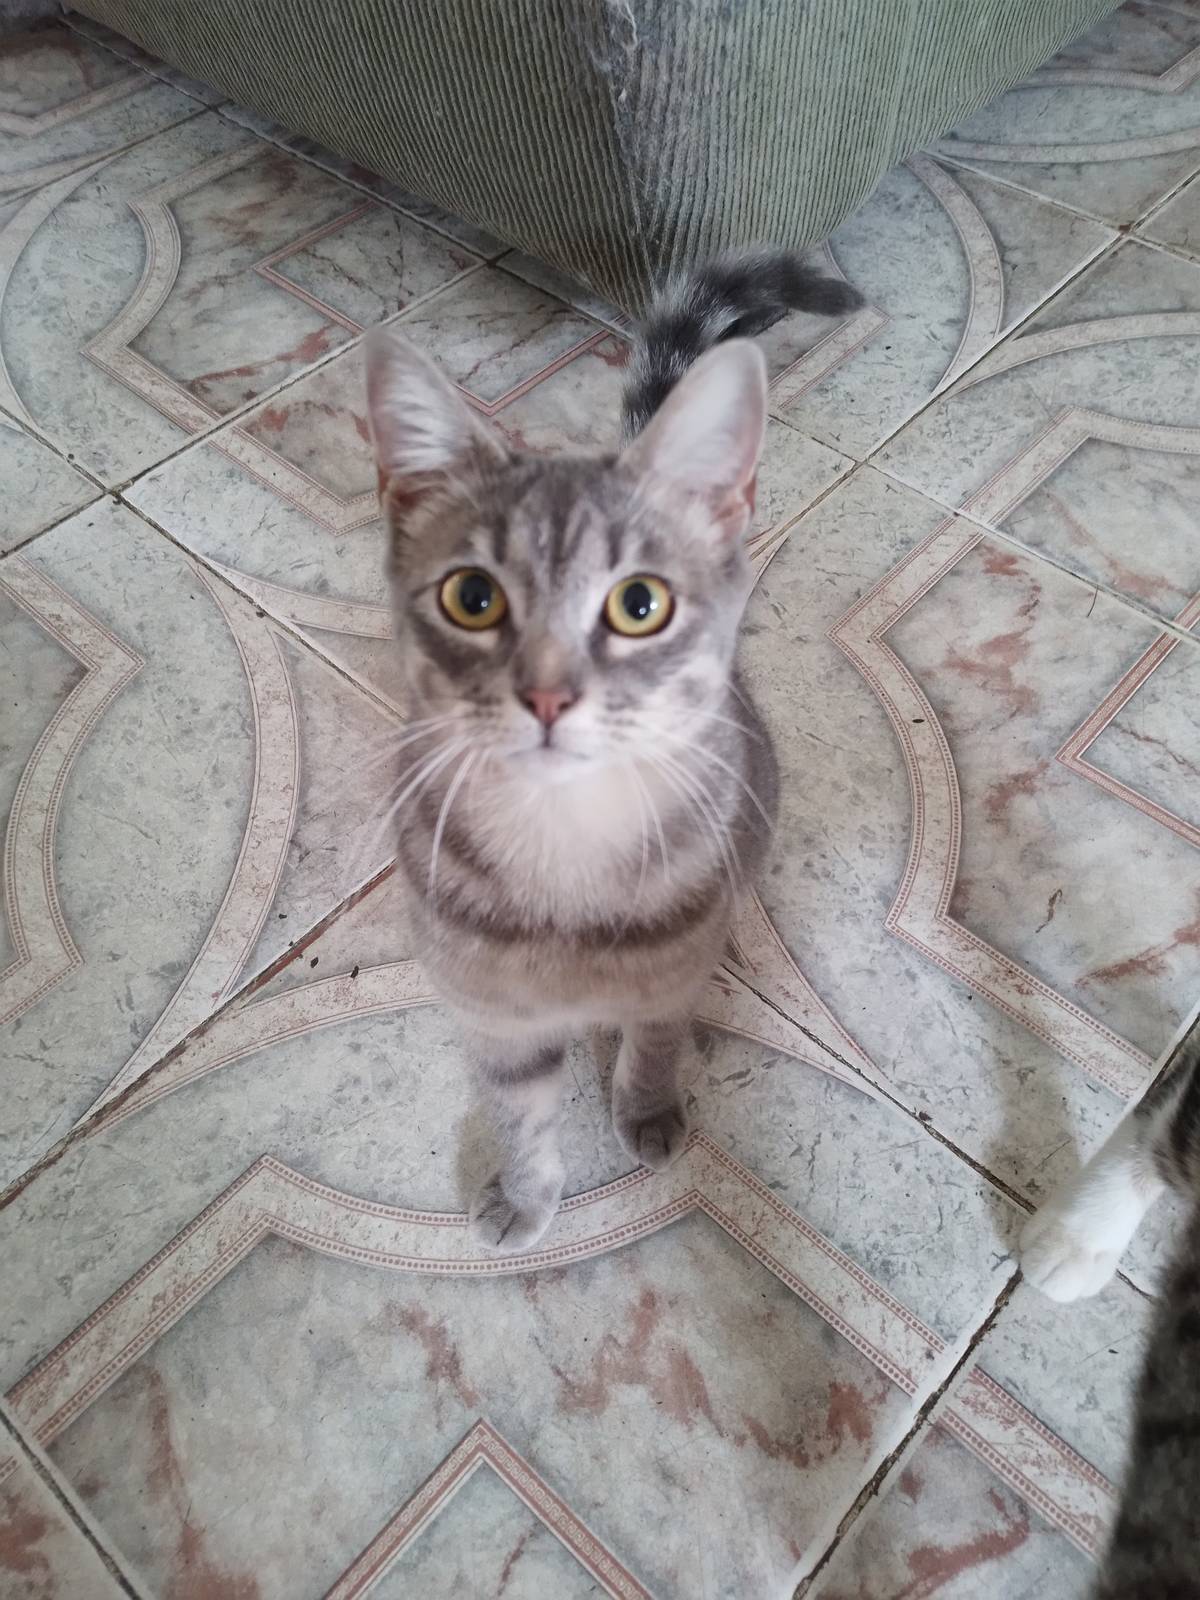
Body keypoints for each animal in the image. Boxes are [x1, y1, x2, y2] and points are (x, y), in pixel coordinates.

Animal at [365, 251, 862, 1251]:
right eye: (472, 596)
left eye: (641, 605)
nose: (549, 695)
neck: (566, 855)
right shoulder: (493, 1015)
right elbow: (520, 1113)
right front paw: (526, 1194)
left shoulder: (671, 978)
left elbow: (654, 1045)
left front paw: (648, 1110)